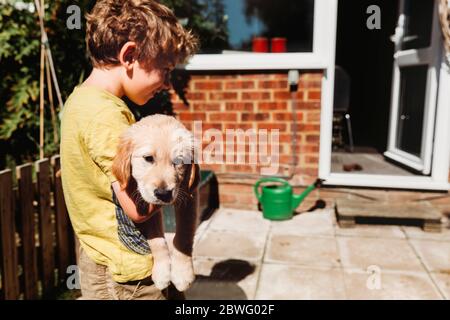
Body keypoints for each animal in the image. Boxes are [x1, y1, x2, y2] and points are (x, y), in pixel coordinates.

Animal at [111, 114, 200, 292]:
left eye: (178, 161)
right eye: (148, 159)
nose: (163, 194)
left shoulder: (188, 195)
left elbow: (184, 235)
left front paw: (182, 274)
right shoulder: (144, 204)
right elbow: (157, 241)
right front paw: (161, 274)